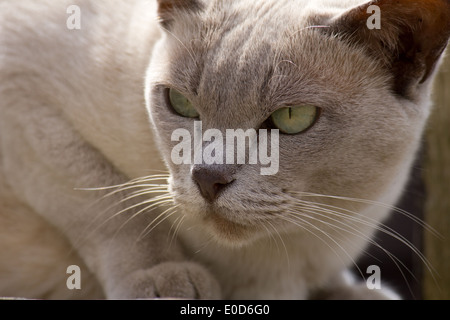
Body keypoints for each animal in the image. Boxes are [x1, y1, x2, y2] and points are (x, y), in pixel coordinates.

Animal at [0, 0, 448, 300]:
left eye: (293, 117)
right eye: (180, 103)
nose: (208, 178)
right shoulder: (23, 98)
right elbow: (111, 208)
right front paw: (166, 279)